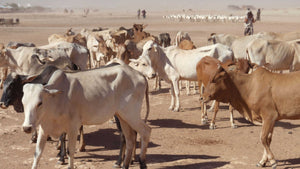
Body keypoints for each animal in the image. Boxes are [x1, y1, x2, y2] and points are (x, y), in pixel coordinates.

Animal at [21, 63, 152, 169]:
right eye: (23, 102)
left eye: (40, 103)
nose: (27, 128)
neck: (55, 100)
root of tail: (140, 74)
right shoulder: (44, 129)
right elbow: (37, 154)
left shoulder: (73, 127)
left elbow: (70, 152)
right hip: (122, 116)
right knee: (130, 139)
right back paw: (124, 165)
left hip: (131, 114)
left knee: (145, 131)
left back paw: (142, 162)